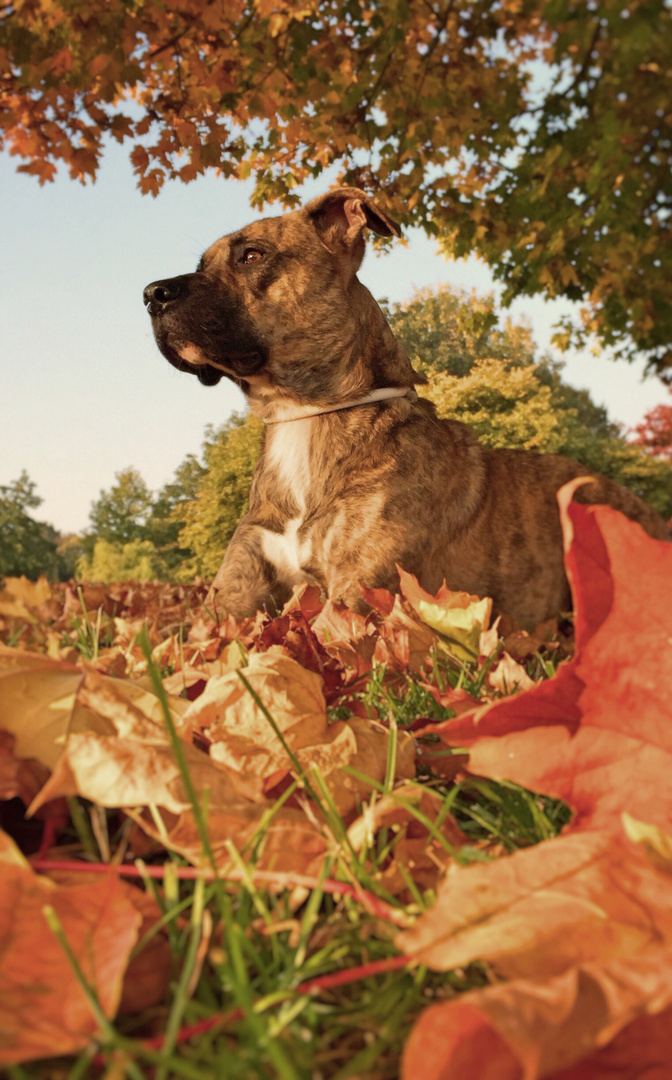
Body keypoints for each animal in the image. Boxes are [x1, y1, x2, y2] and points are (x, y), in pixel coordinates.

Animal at [143, 183, 669, 626]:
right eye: (202, 265)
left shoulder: (356, 595)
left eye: (252, 255)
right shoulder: (230, 598)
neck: (302, 413)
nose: (151, 293)